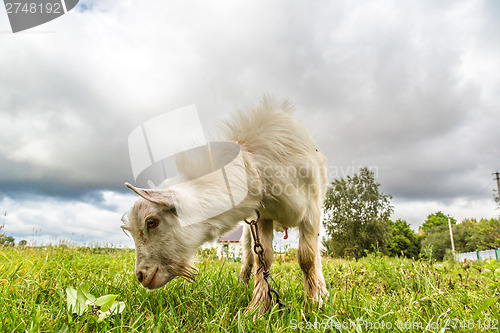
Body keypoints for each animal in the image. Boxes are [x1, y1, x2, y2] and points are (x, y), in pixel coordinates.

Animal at [122, 96, 328, 314]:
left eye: (152, 222)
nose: (141, 276)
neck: (256, 165)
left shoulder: (312, 211)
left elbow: (307, 259)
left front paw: (312, 305)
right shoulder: (263, 217)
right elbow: (263, 259)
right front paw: (256, 309)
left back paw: (321, 290)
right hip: (249, 230)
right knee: (248, 257)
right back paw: (242, 284)